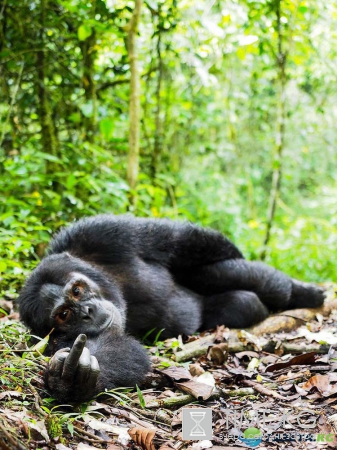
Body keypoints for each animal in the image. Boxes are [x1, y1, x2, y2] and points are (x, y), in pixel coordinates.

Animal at [17, 214, 322, 400]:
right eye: (64, 315)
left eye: (77, 291)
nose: (87, 312)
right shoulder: (55, 341)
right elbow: (117, 349)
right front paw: (73, 377)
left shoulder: (100, 233)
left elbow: (178, 239)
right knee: (243, 303)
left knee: (218, 272)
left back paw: (302, 293)